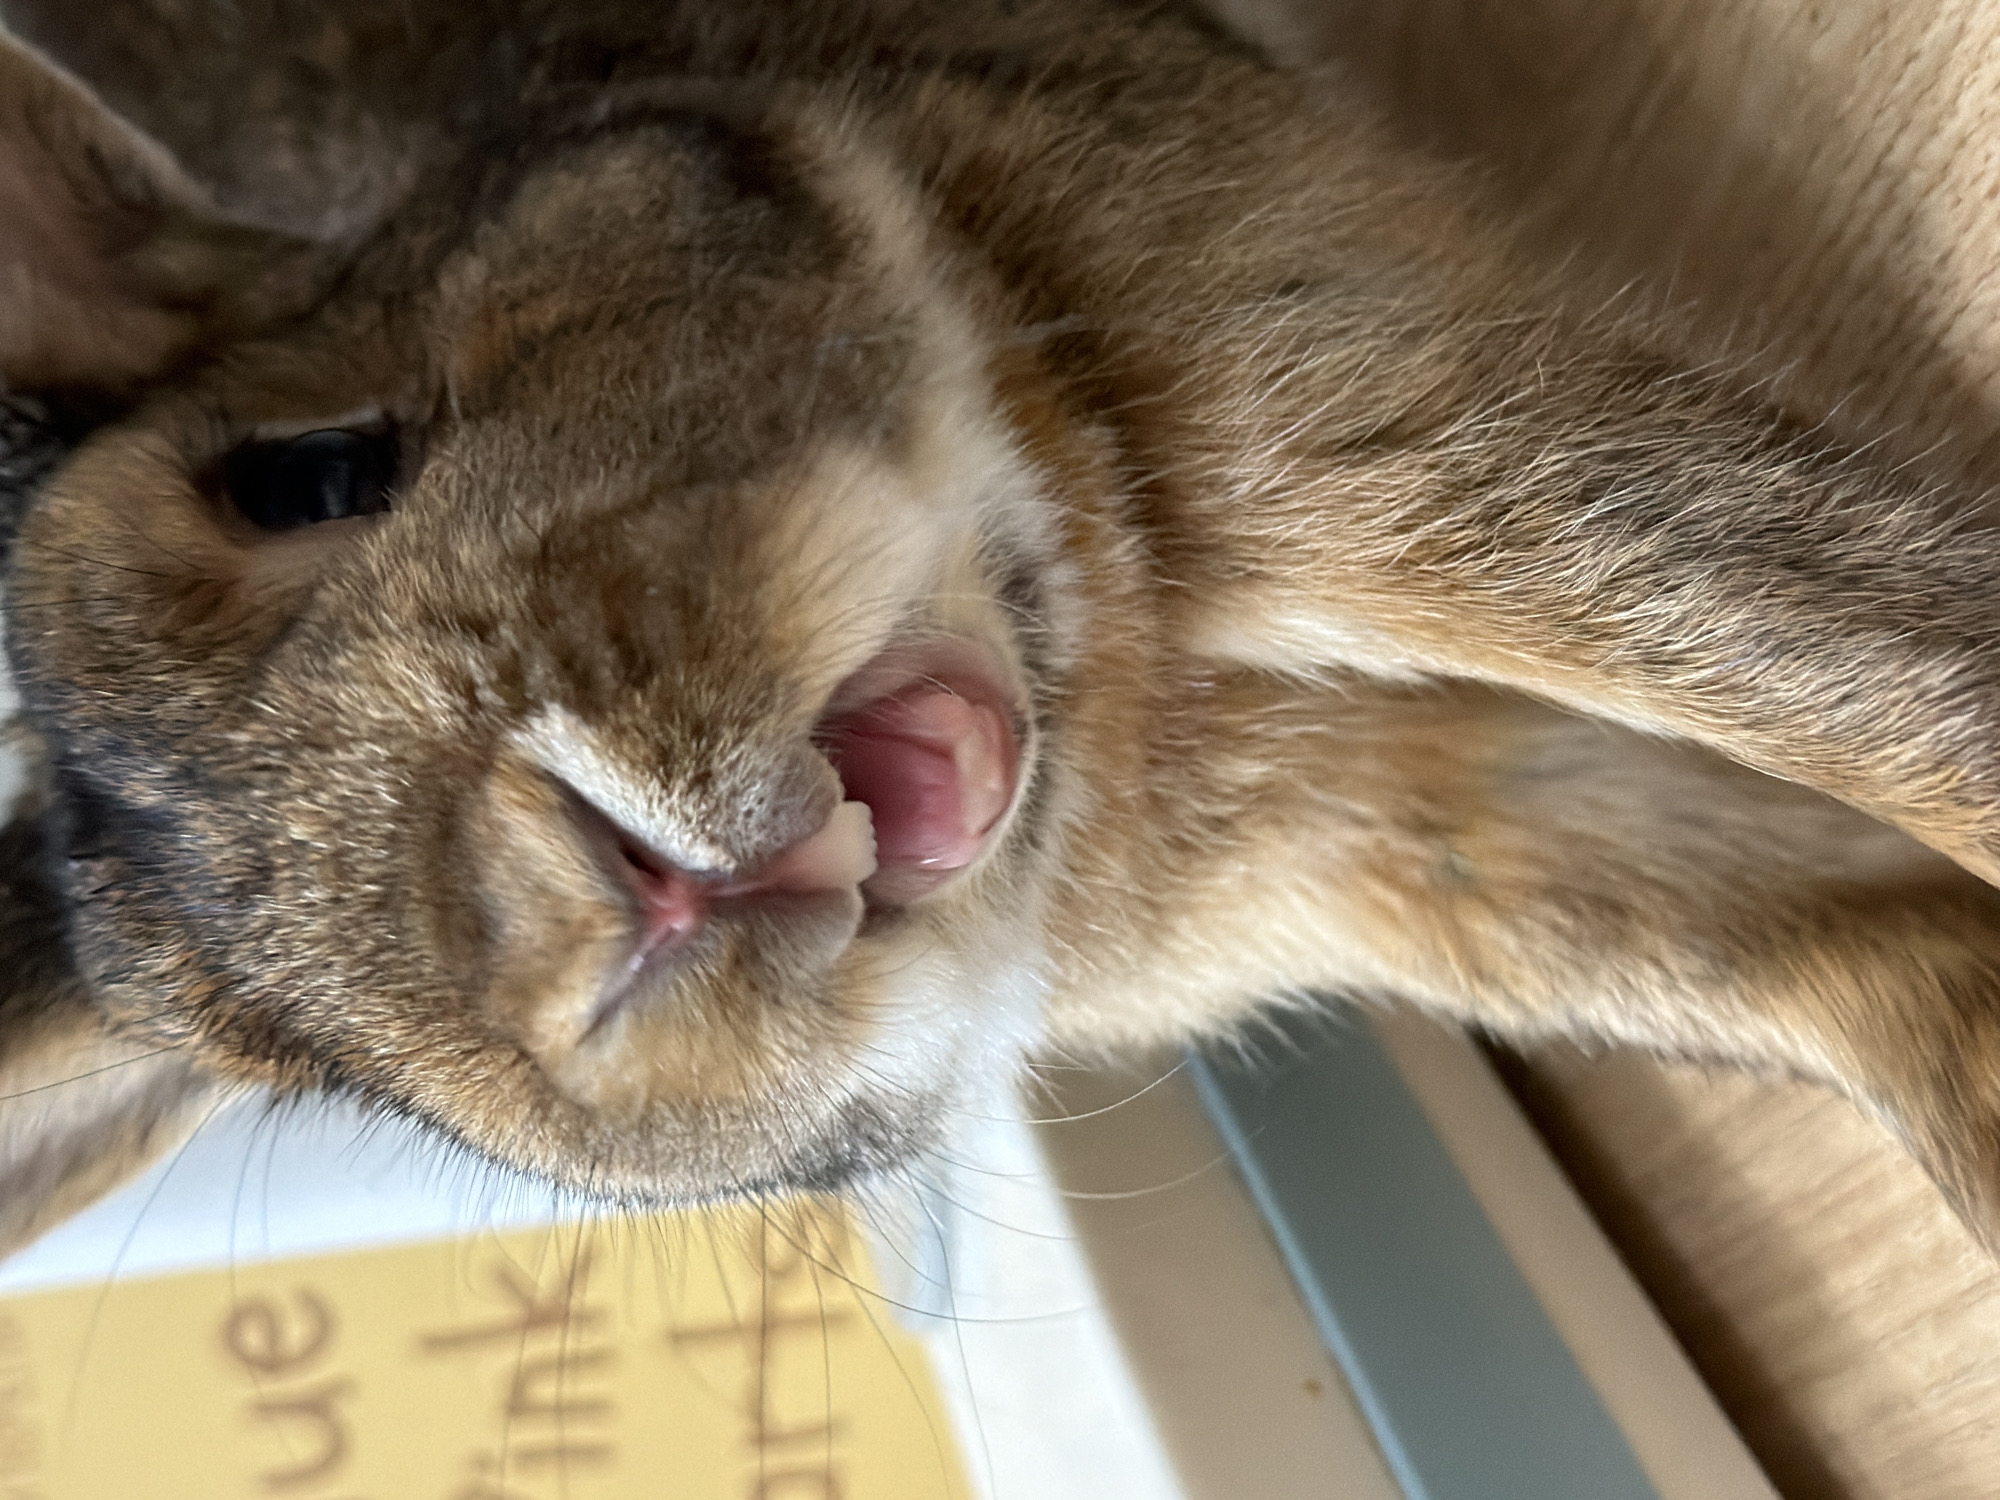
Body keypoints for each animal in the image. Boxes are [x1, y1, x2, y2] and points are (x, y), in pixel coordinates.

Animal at [6, 0, 2000, 1259]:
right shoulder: (1447, 845)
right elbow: (1848, 957)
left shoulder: (1428, 448)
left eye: (310, 473)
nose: (583, 910)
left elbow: (1893, 706)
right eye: (300, 1066)